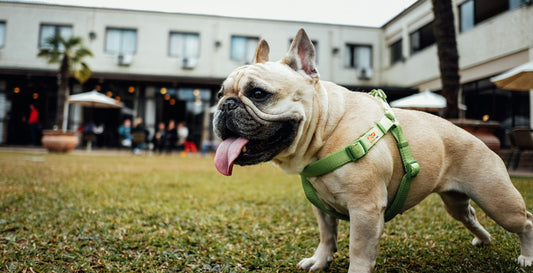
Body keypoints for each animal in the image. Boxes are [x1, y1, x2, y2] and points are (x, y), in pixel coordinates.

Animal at [213, 28, 532, 272]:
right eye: (220, 93)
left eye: (258, 94)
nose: (224, 106)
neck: (328, 129)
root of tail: (476, 138)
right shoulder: (322, 207)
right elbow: (327, 236)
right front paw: (320, 260)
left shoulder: (364, 209)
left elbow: (358, 250)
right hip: (455, 202)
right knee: (471, 215)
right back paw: (483, 240)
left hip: (497, 199)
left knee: (525, 220)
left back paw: (527, 257)